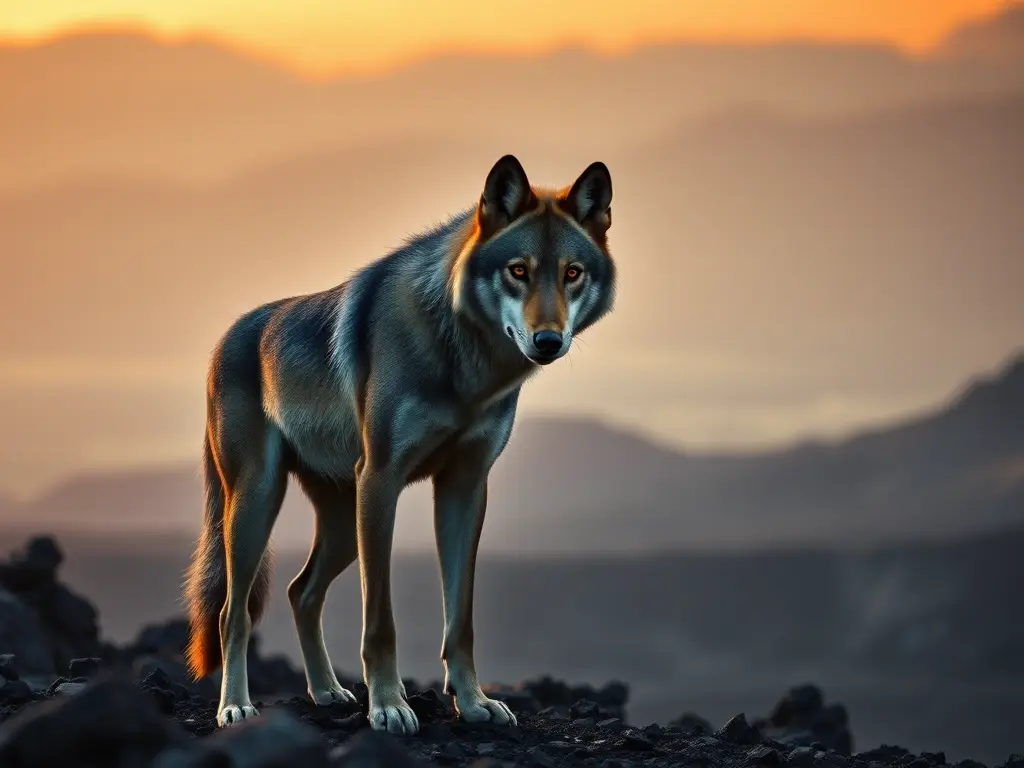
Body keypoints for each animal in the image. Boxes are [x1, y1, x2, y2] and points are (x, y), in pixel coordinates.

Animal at [182, 154, 617, 734]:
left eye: (572, 273)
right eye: (518, 270)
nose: (547, 341)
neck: (465, 365)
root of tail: (224, 338)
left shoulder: (464, 488)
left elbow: (461, 620)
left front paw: (474, 703)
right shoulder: (381, 479)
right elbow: (380, 622)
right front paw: (388, 706)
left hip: (341, 522)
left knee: (301, 591)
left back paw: (327, 692)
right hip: (259, 502)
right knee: (234, 612)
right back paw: (235, 706)